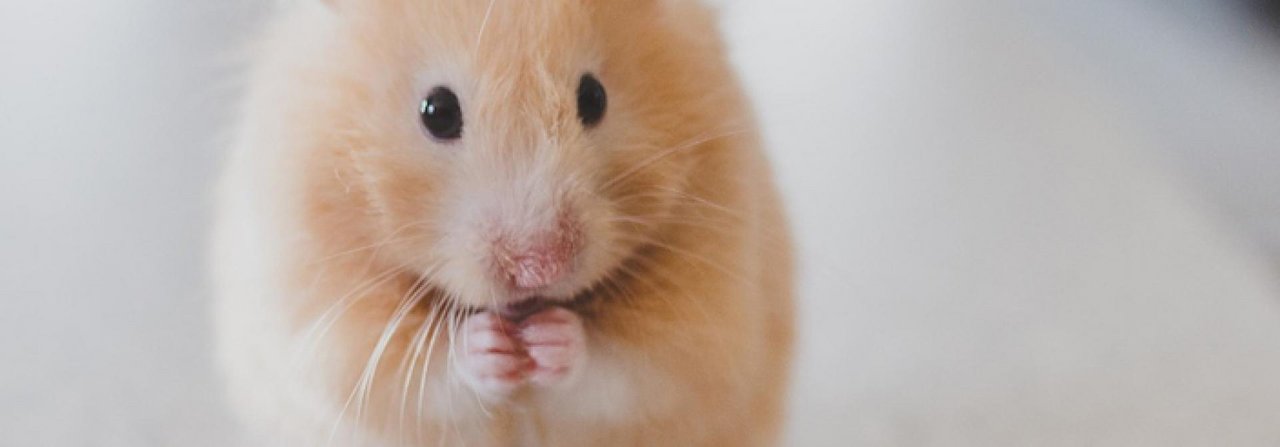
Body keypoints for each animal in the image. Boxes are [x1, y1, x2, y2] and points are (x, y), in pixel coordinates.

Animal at [212, 0, 793, 445]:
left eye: (594, 97)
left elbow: (622, 369)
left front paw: (551, 338)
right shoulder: (328, 323)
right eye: (437, 110)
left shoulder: (702, 325)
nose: (539, 269)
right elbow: (421, 376)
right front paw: (490, 345)